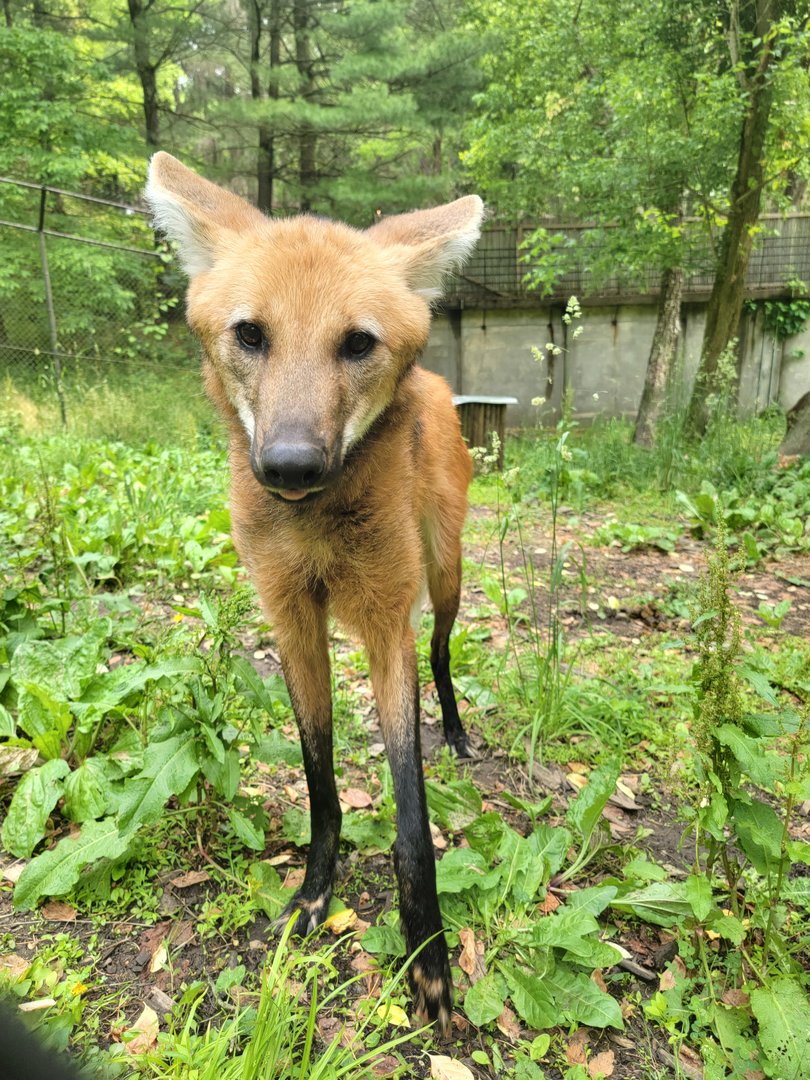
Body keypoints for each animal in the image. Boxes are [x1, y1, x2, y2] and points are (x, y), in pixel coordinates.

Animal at [145, 153, 483, 1031]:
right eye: (251, 335)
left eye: (357, 343)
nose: (290, 465)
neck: (316, 527)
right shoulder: (293, 617)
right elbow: (321, 777)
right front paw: (314, 892)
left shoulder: (386, 621)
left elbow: (411, 819)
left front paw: (430, 960)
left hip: (445, 574)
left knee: (444, 651)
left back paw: (457, 731)